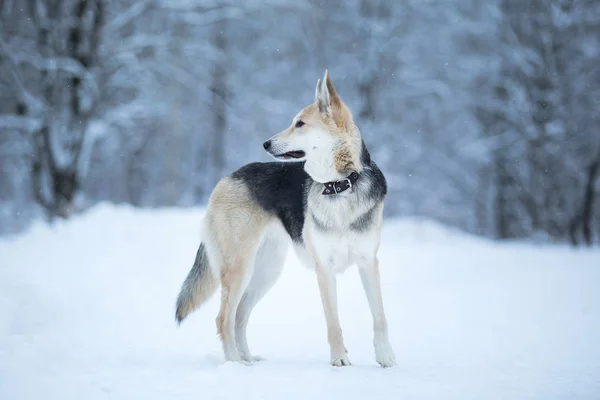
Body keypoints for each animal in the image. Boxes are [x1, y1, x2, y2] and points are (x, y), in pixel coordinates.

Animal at [176, 70, 396, 368]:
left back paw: (248, 360)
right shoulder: (324, 269)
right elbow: (333, 322)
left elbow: (380, 317)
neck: (340, 186)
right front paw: (339, 359)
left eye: (300, 123)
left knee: (239, 317)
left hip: (266, 271)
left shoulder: (368, 263)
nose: (265, 143)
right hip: (239, 269)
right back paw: (235, 364)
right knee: (223, 319)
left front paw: (386, 357)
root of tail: (227, 177)